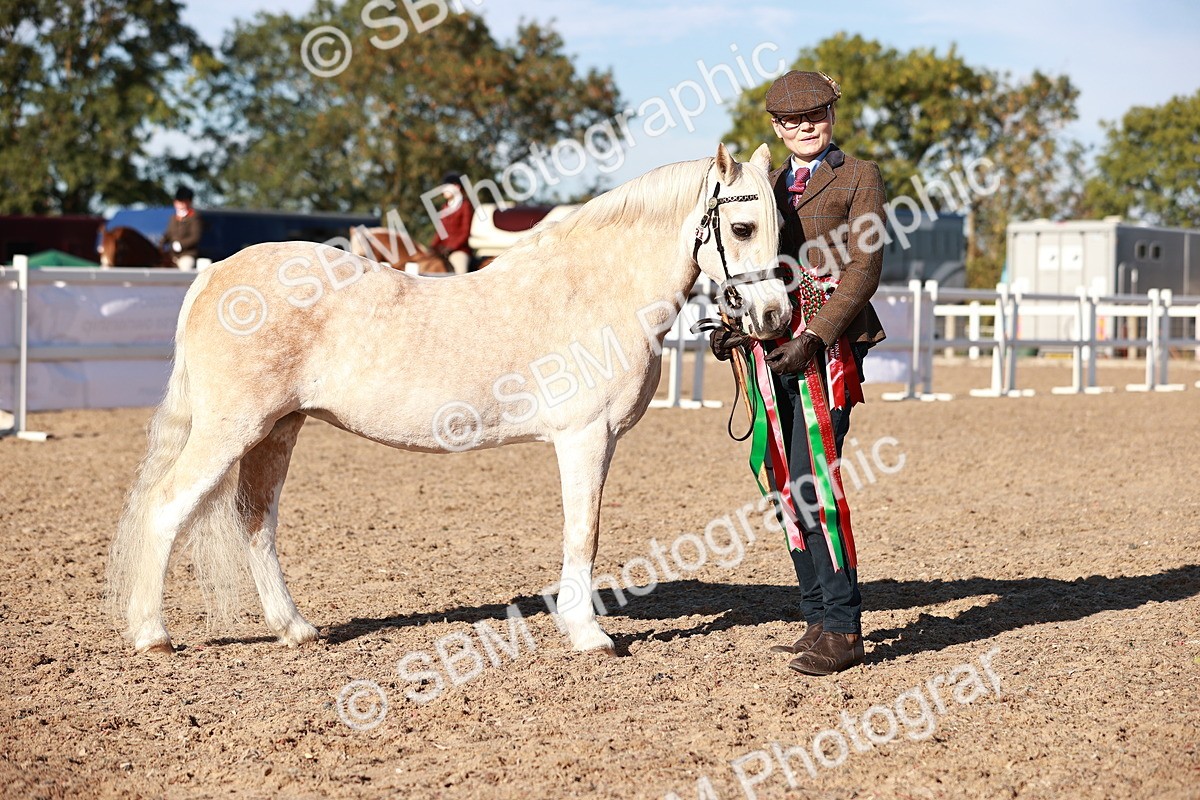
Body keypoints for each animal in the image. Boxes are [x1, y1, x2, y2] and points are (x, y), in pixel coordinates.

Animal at [107, 143, 790, 655]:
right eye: (742, 227)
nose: (776, 317)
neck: (592, 289)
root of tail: (214, 274)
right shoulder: (586, 438)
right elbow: (584, 533)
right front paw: (588, 634)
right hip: (232, 429)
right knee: (167, 508)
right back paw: (153, 635)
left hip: (279, 428)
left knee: (256, 522)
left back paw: (296, 629)